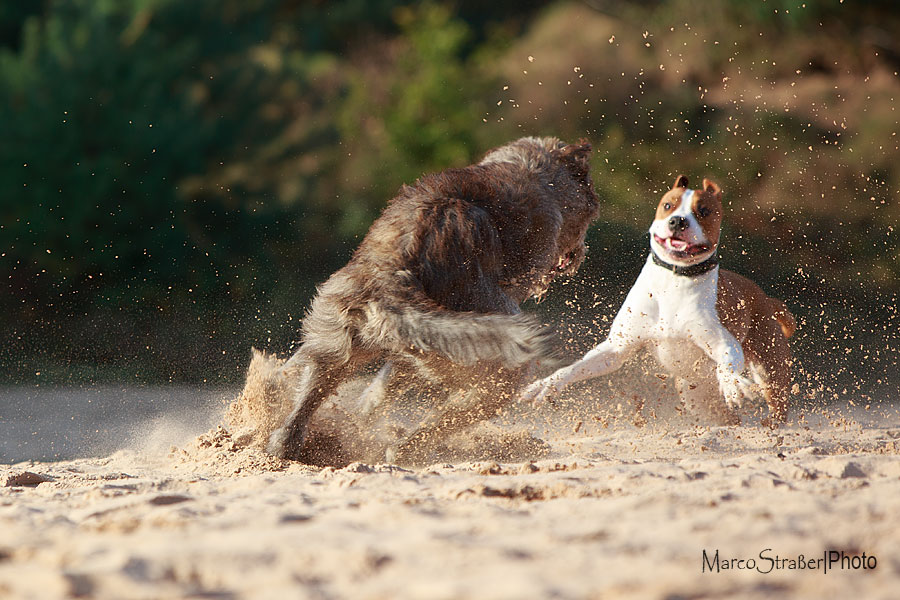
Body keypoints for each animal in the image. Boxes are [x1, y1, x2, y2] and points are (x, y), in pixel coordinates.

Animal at [260, 137, 596, 464]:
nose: (581, 252)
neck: (535, 170)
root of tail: (394, 271)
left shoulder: (407, 354)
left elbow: (378, 391)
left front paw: (359, 419)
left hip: (339, 336)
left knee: (309, 391)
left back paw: (285, 435)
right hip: (502, 367)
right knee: (446, 419)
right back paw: (407, 448)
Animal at [520, 176, 796, 424]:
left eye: (704, 211)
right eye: (668, 205)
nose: (678, 221)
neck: (674, 278)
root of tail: (767, 299)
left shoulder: (722, 341)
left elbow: (726, 363)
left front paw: (733, 385)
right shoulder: (618, 346)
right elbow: (577, 367)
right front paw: (545, 385)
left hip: (770, 369)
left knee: (776, 408)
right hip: (696, 397)